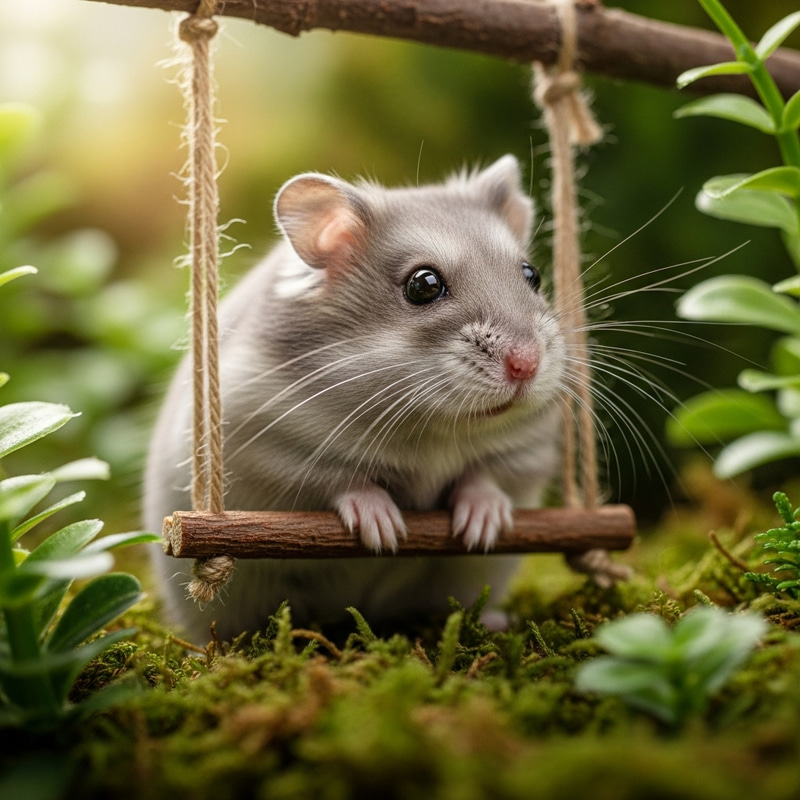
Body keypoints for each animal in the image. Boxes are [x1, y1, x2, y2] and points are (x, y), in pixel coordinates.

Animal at [144, 154, 566, 643]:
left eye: (532, 274)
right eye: (423, 285)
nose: (527, 365)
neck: (433, 426)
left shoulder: (527, 449)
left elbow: (489, 475)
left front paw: (483, 526)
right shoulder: (265, 450)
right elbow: (340, 480)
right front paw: (384, 531)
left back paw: (494, 622)